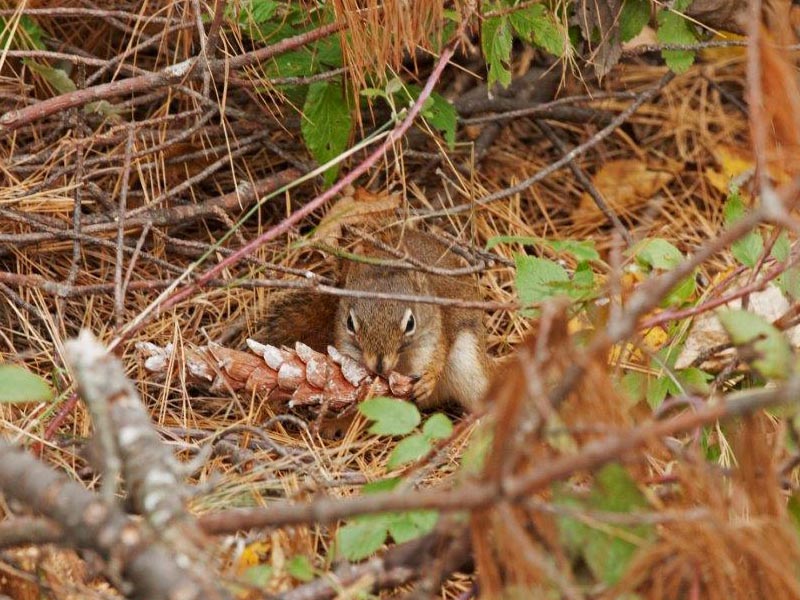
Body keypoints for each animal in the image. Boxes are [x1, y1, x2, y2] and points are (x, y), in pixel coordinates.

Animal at [261, 228, 490, 411]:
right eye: (350, 323)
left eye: (410, 323)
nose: (379, 366)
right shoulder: (346, 345)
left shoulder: (432, 336)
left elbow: (435, 358)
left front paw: (428, 380)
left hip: (469, 366)